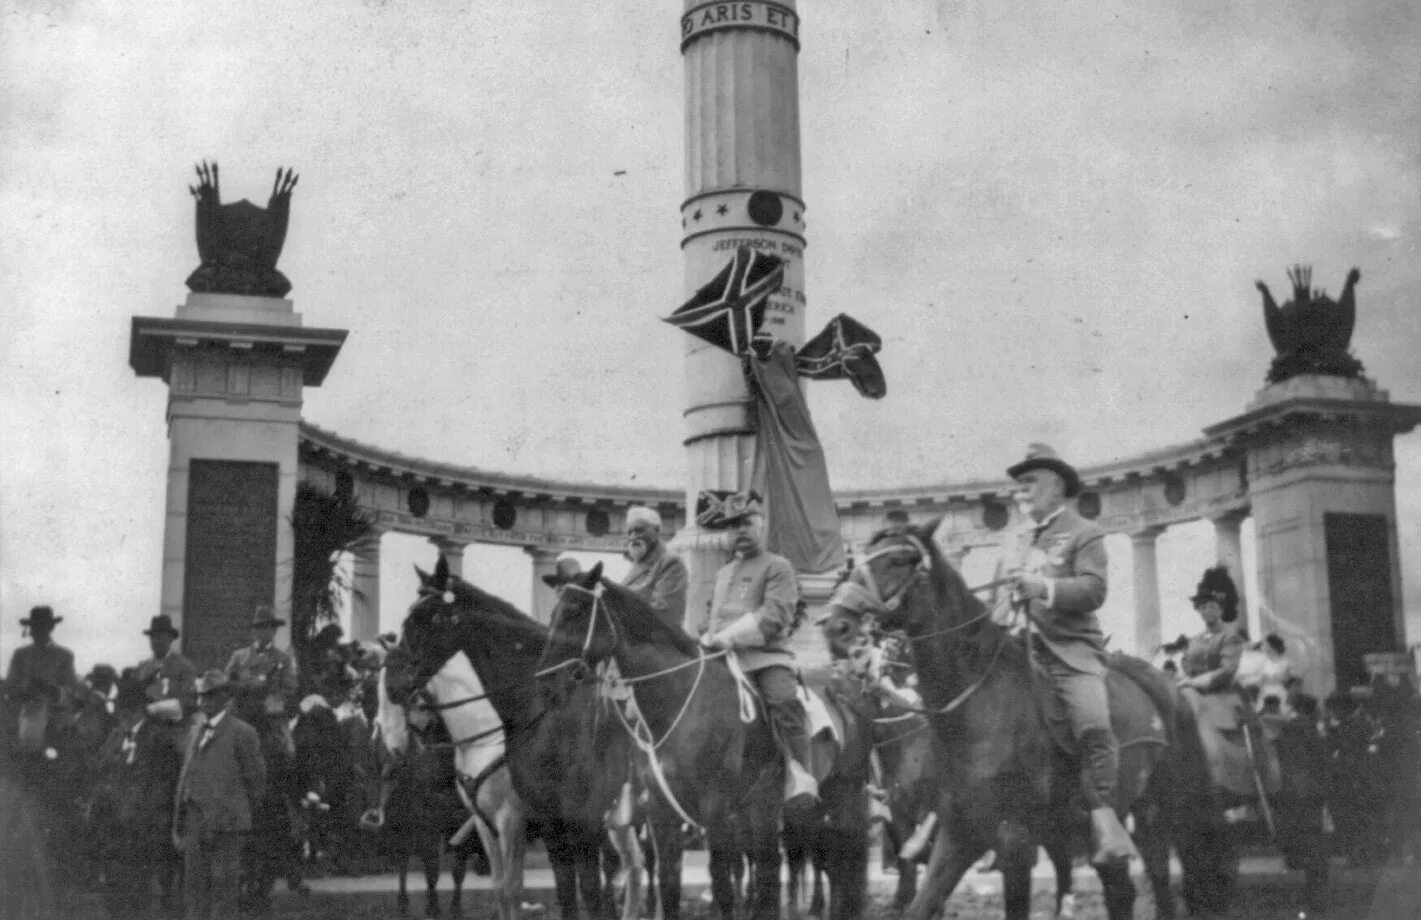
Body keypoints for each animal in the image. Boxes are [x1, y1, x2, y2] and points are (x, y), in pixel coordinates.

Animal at [397, 560, 647, 920]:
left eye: (427, 616)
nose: (396, 684)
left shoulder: (531, 821)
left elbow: (562, 891)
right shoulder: (513, 824)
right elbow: (525, 891)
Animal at [829, 526, 1227, 920]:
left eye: (898, 560)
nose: (837, 626)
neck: (978, 705)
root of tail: (1159, 681)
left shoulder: (1014, 842)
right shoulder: (959, 833)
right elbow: (921, 903)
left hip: (1155, 811)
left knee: (1157, 880)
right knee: (1124, 890)